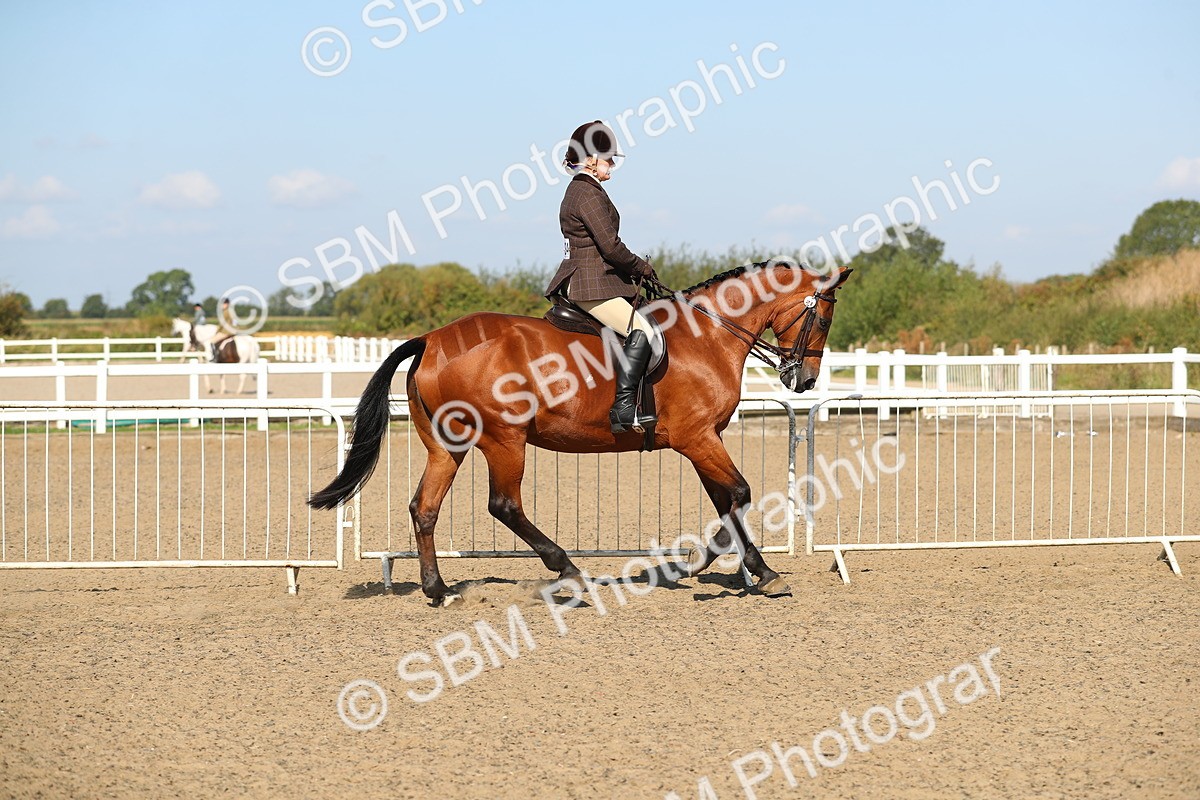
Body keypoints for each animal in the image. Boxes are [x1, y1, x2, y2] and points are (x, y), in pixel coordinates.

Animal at [310, 261, 852, 605]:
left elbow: (727, 501)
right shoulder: (697, 439)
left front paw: (759, 571)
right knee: (503, 505)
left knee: (425, 508)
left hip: (449, 445)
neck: (709, 336)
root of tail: (431, 339)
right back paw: (567, 570)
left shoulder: (702, 442)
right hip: (504, 440)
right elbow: (739, 493)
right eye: (824, 317)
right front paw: (696, 563)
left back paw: (439, 592)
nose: (803, 381)